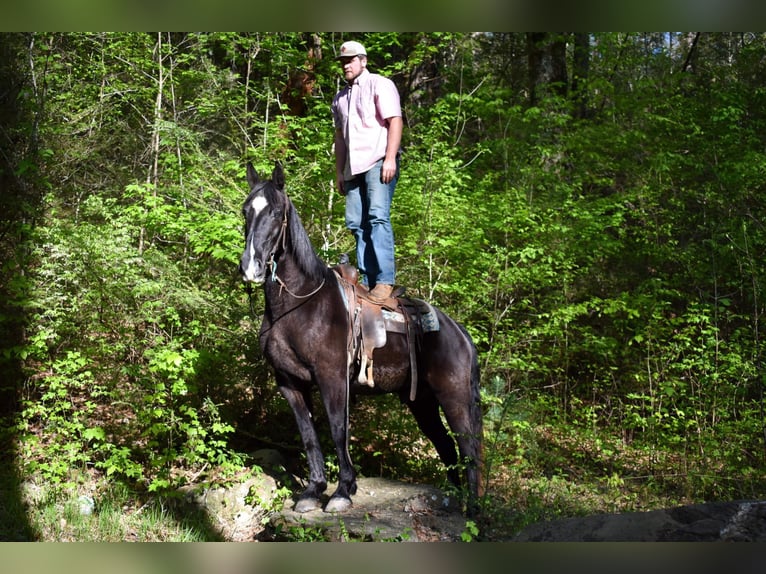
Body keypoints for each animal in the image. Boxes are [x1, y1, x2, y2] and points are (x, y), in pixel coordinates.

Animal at [240, 163, 484, 516]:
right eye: (246, 211)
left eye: (274, 212)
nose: (250, 266)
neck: (299, 304)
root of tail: (460, 333)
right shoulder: (289, 382)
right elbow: (309, 435)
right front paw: (313, 491)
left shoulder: (332, 378)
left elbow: (338, 429)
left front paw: (343, 491)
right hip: (421, 402)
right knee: (446, 446)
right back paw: (451, 502)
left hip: (455, 397)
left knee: (468, 449)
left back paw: (474, 511)